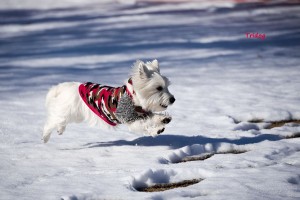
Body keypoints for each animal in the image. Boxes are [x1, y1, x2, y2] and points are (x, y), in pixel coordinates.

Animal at [42, 59, 173, 142]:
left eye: (167, 86)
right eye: (159, 88)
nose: (173, 99)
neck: (134, 97)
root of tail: (62, 87)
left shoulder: (142, 113)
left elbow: (153, 117)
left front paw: (164, 119)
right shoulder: (130, 119)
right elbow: (145, 124)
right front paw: (157, 129)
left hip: (74, 115)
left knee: (59, 122)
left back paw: (60, 130)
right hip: (66, 112)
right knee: (51, 122)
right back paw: (45, 137)